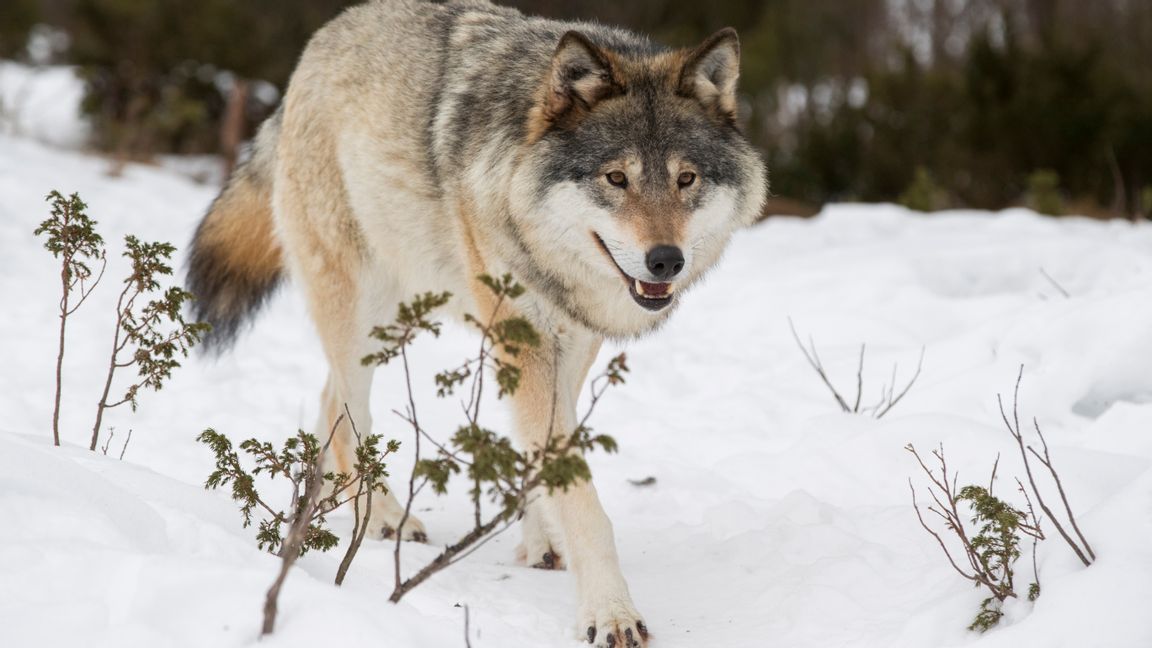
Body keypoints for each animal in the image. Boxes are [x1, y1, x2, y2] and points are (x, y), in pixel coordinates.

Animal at [186, 2, 764, 641]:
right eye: (617, 179)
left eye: (687, 179)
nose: (666, 260)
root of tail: (320, 44)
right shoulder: (526, 339)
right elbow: (580, 496)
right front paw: (611, 613)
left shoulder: (570, 342)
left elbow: (545, 457)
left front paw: (543, 542)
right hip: (363, 312)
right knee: (349, 409)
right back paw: (380, 517)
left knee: (327, 398)